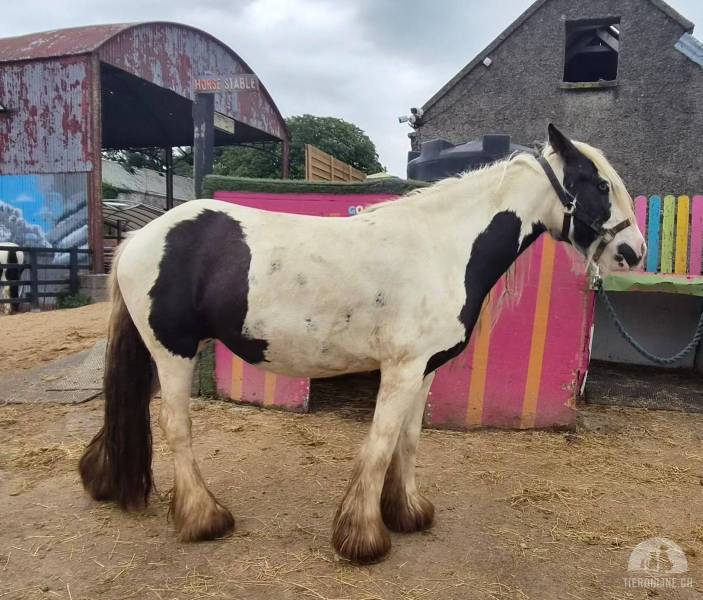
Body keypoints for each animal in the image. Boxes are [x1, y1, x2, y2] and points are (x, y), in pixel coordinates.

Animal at [79, 125, 646, 564]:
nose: (633, 251)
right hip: (172, 351)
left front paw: (408, 514)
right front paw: (363, 538)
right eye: (599, 183)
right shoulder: (400, 369)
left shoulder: (425, 368)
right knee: (177, 426)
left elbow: (408, 441)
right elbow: (379, 443)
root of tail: (141, 238)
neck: (442, 246)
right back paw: (204, 519)